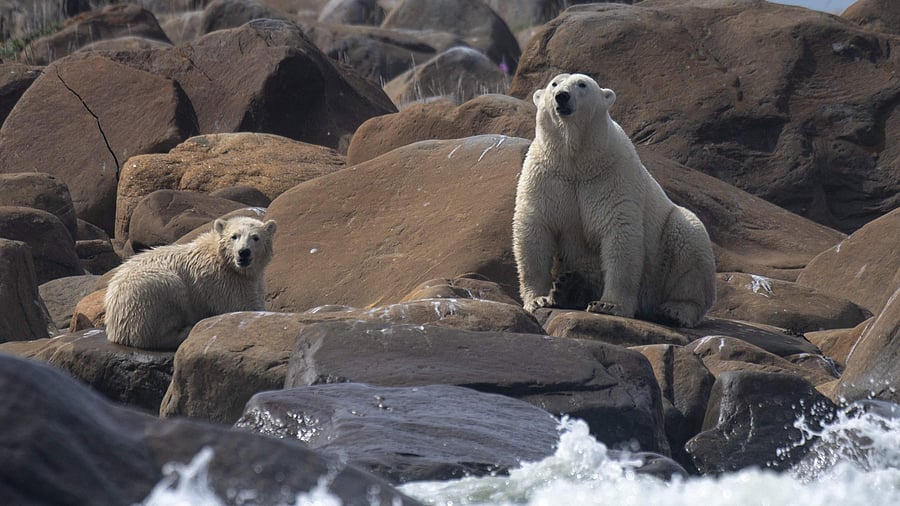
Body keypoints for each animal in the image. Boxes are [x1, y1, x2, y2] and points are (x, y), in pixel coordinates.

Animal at [104, 216, 277, 350]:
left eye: (255, 237)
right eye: (234, 236)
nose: (243, 252)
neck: (223, 259)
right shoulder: (223, 283)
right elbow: (242, 307)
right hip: (149, 290)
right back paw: (186, 330)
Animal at [513, 73, 716, 328]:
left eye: (582, 84)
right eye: (554, 84)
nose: (562, 96)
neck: (577, 161)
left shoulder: (613, 175)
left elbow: (619, 233)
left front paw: (608, 305)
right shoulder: (548, 178)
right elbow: (535, 229)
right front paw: (539, 299)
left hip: (666, 251)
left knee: (689, 244)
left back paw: (675, 311)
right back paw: (569, 288)